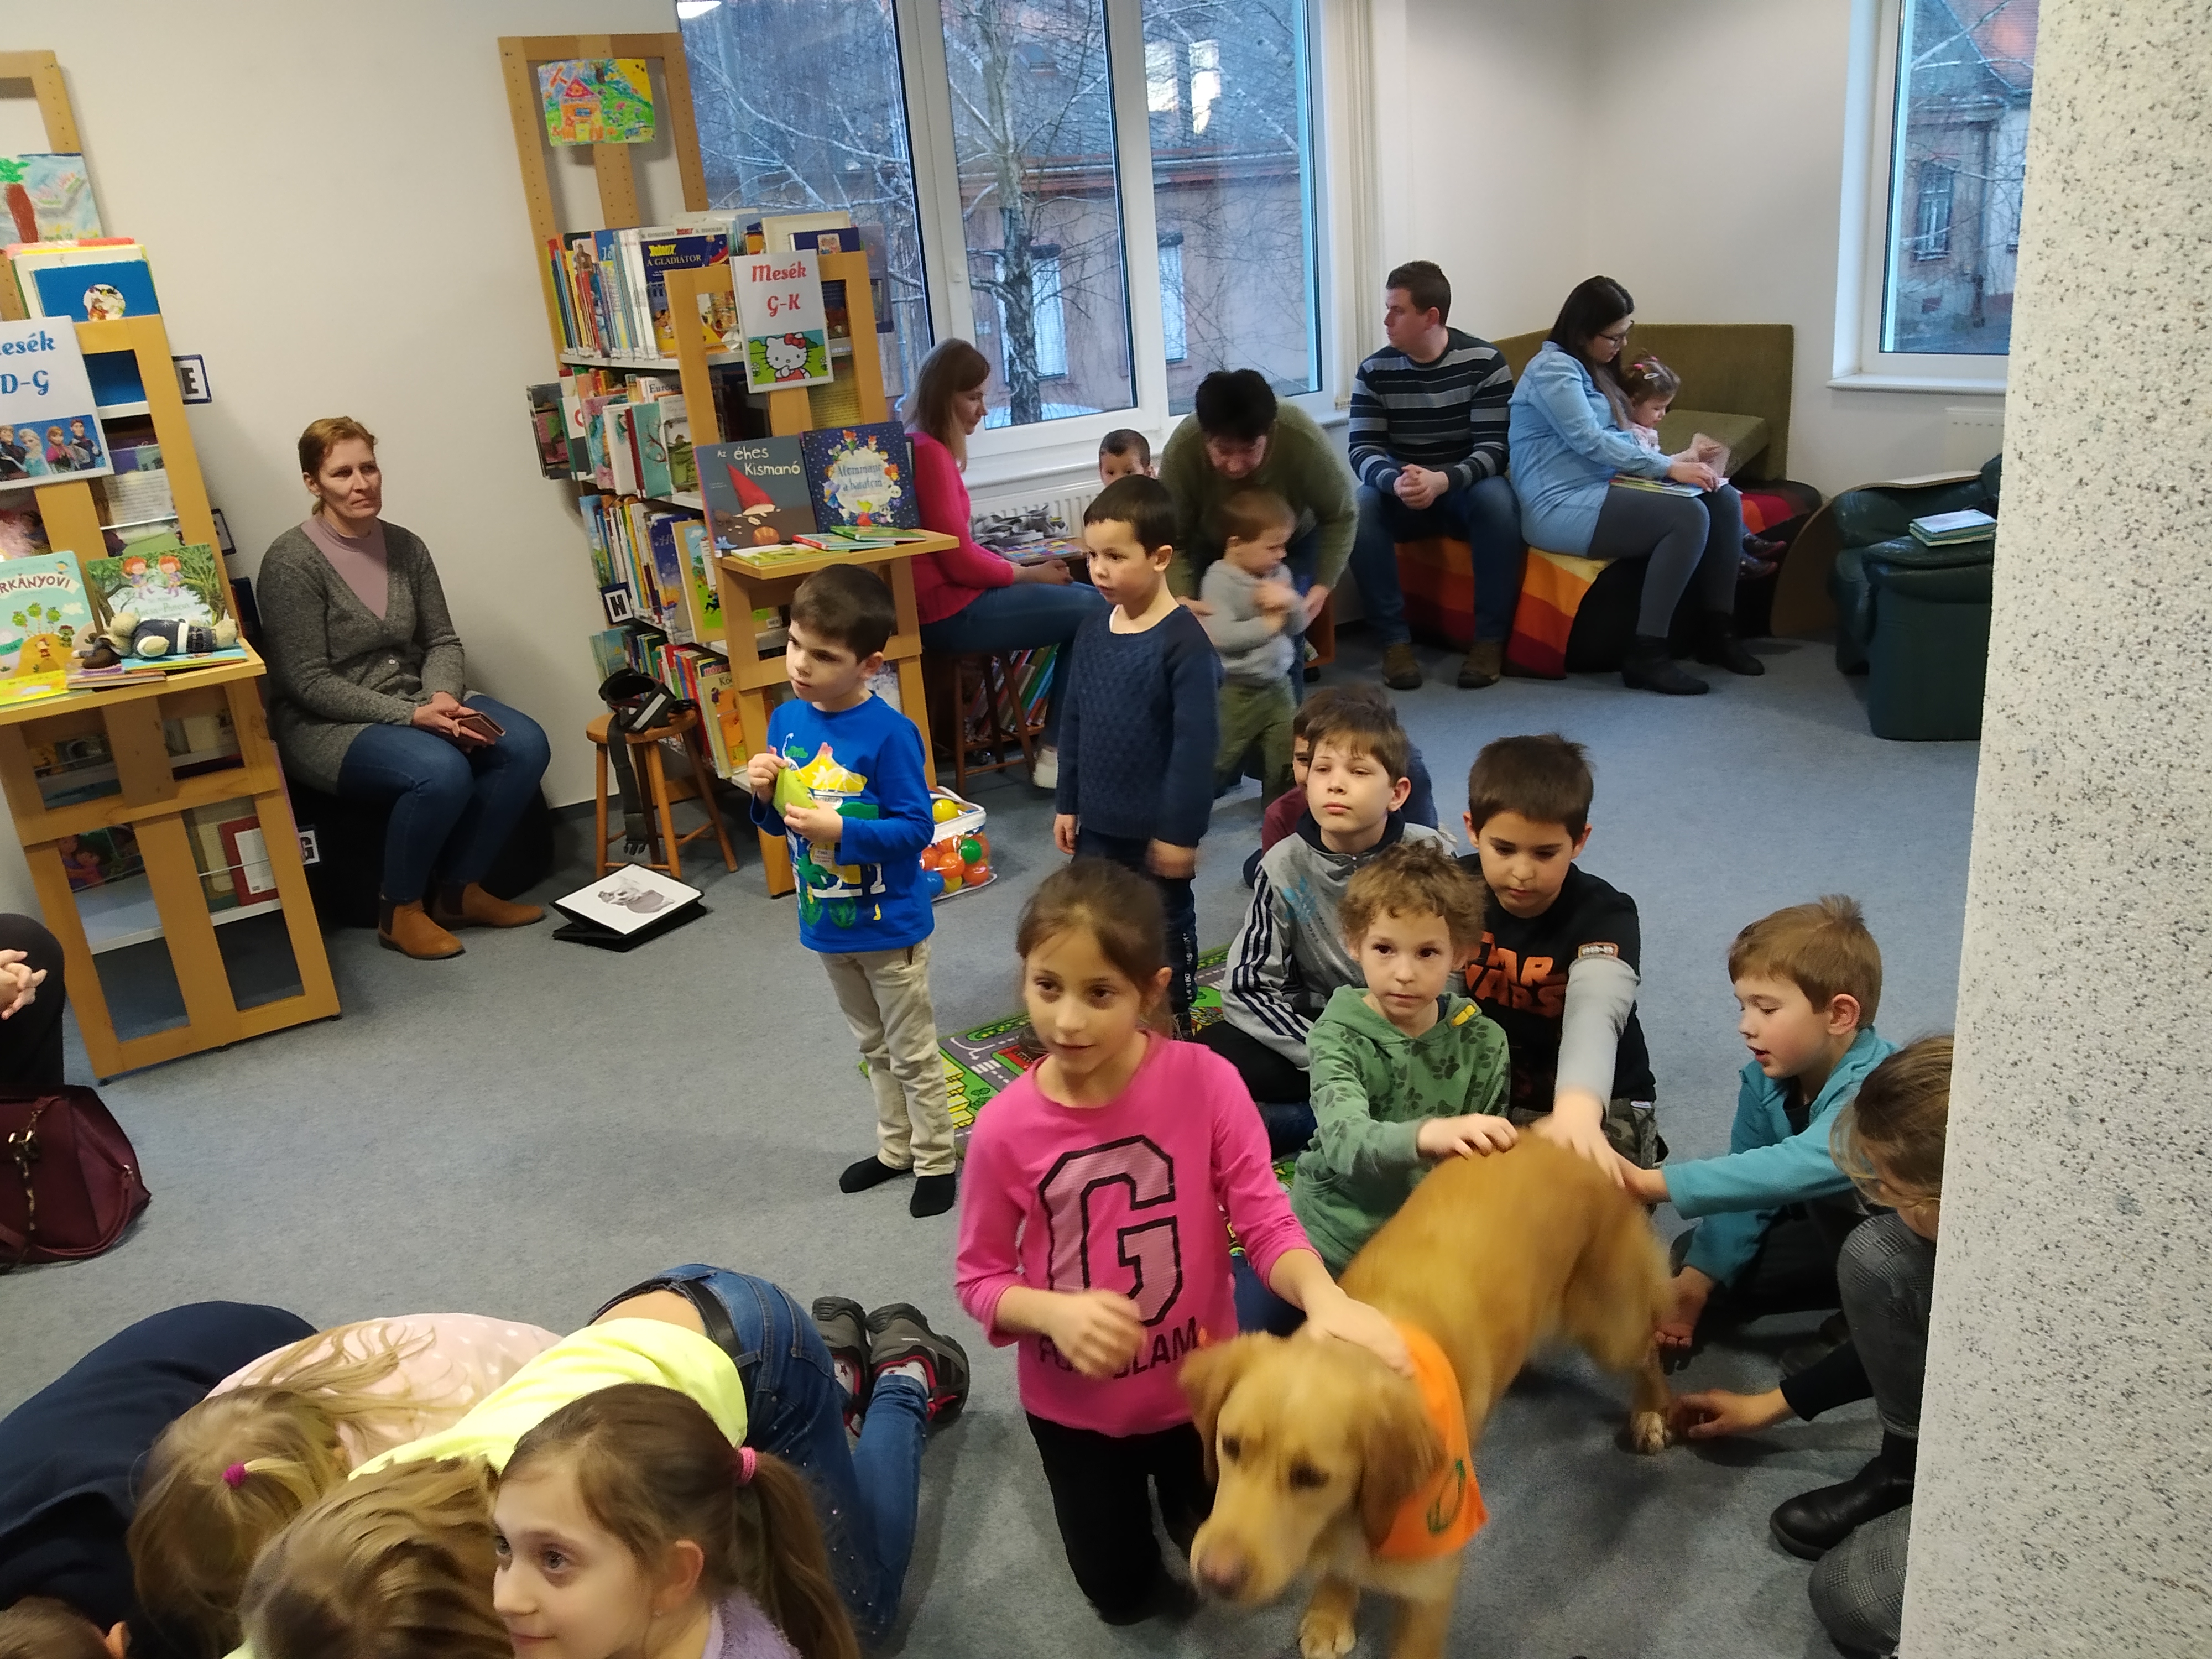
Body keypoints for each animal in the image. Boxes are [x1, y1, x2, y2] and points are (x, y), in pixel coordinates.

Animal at [1181, 1137, 1672, 1659]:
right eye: (1230, 1446)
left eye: (1311, 1477)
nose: (1215, 1578)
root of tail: (1561, 1137)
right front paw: (1331, 1610)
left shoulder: (1432, 1583)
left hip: (1610, 1328)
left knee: (1649, 1346)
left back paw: (1651, 1413)